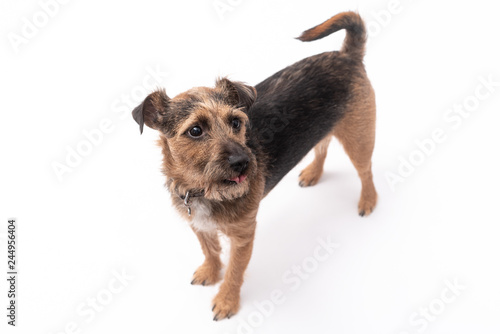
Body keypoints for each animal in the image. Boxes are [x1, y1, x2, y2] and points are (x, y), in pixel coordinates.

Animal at [131, 11, 376, 320]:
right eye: (195, 130)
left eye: (236, 122)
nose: (244, 162)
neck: (201, 189)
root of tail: (346, 55)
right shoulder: (198, 225)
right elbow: (209, 250)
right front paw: (210, 271)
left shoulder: (243, 235)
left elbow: (235, 271)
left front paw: (226, 300)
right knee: (322, 145)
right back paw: (313, 173)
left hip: (359, 137)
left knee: (365, 170)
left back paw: (368, 200)